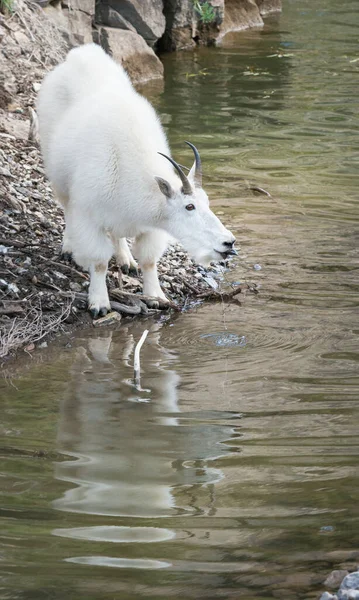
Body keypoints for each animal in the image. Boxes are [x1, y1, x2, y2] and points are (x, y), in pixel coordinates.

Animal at [37, 44, 236, 316]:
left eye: (207, 201)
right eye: (189, 206)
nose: (228, 242)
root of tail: (79, 54)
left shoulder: (151, 227)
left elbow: (149, 260)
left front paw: (156, 297)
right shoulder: (89, 216)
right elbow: (98, 262)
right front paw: (99, 303)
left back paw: (125, 259)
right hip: (57, 174)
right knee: (66, 207)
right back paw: (69, 247)